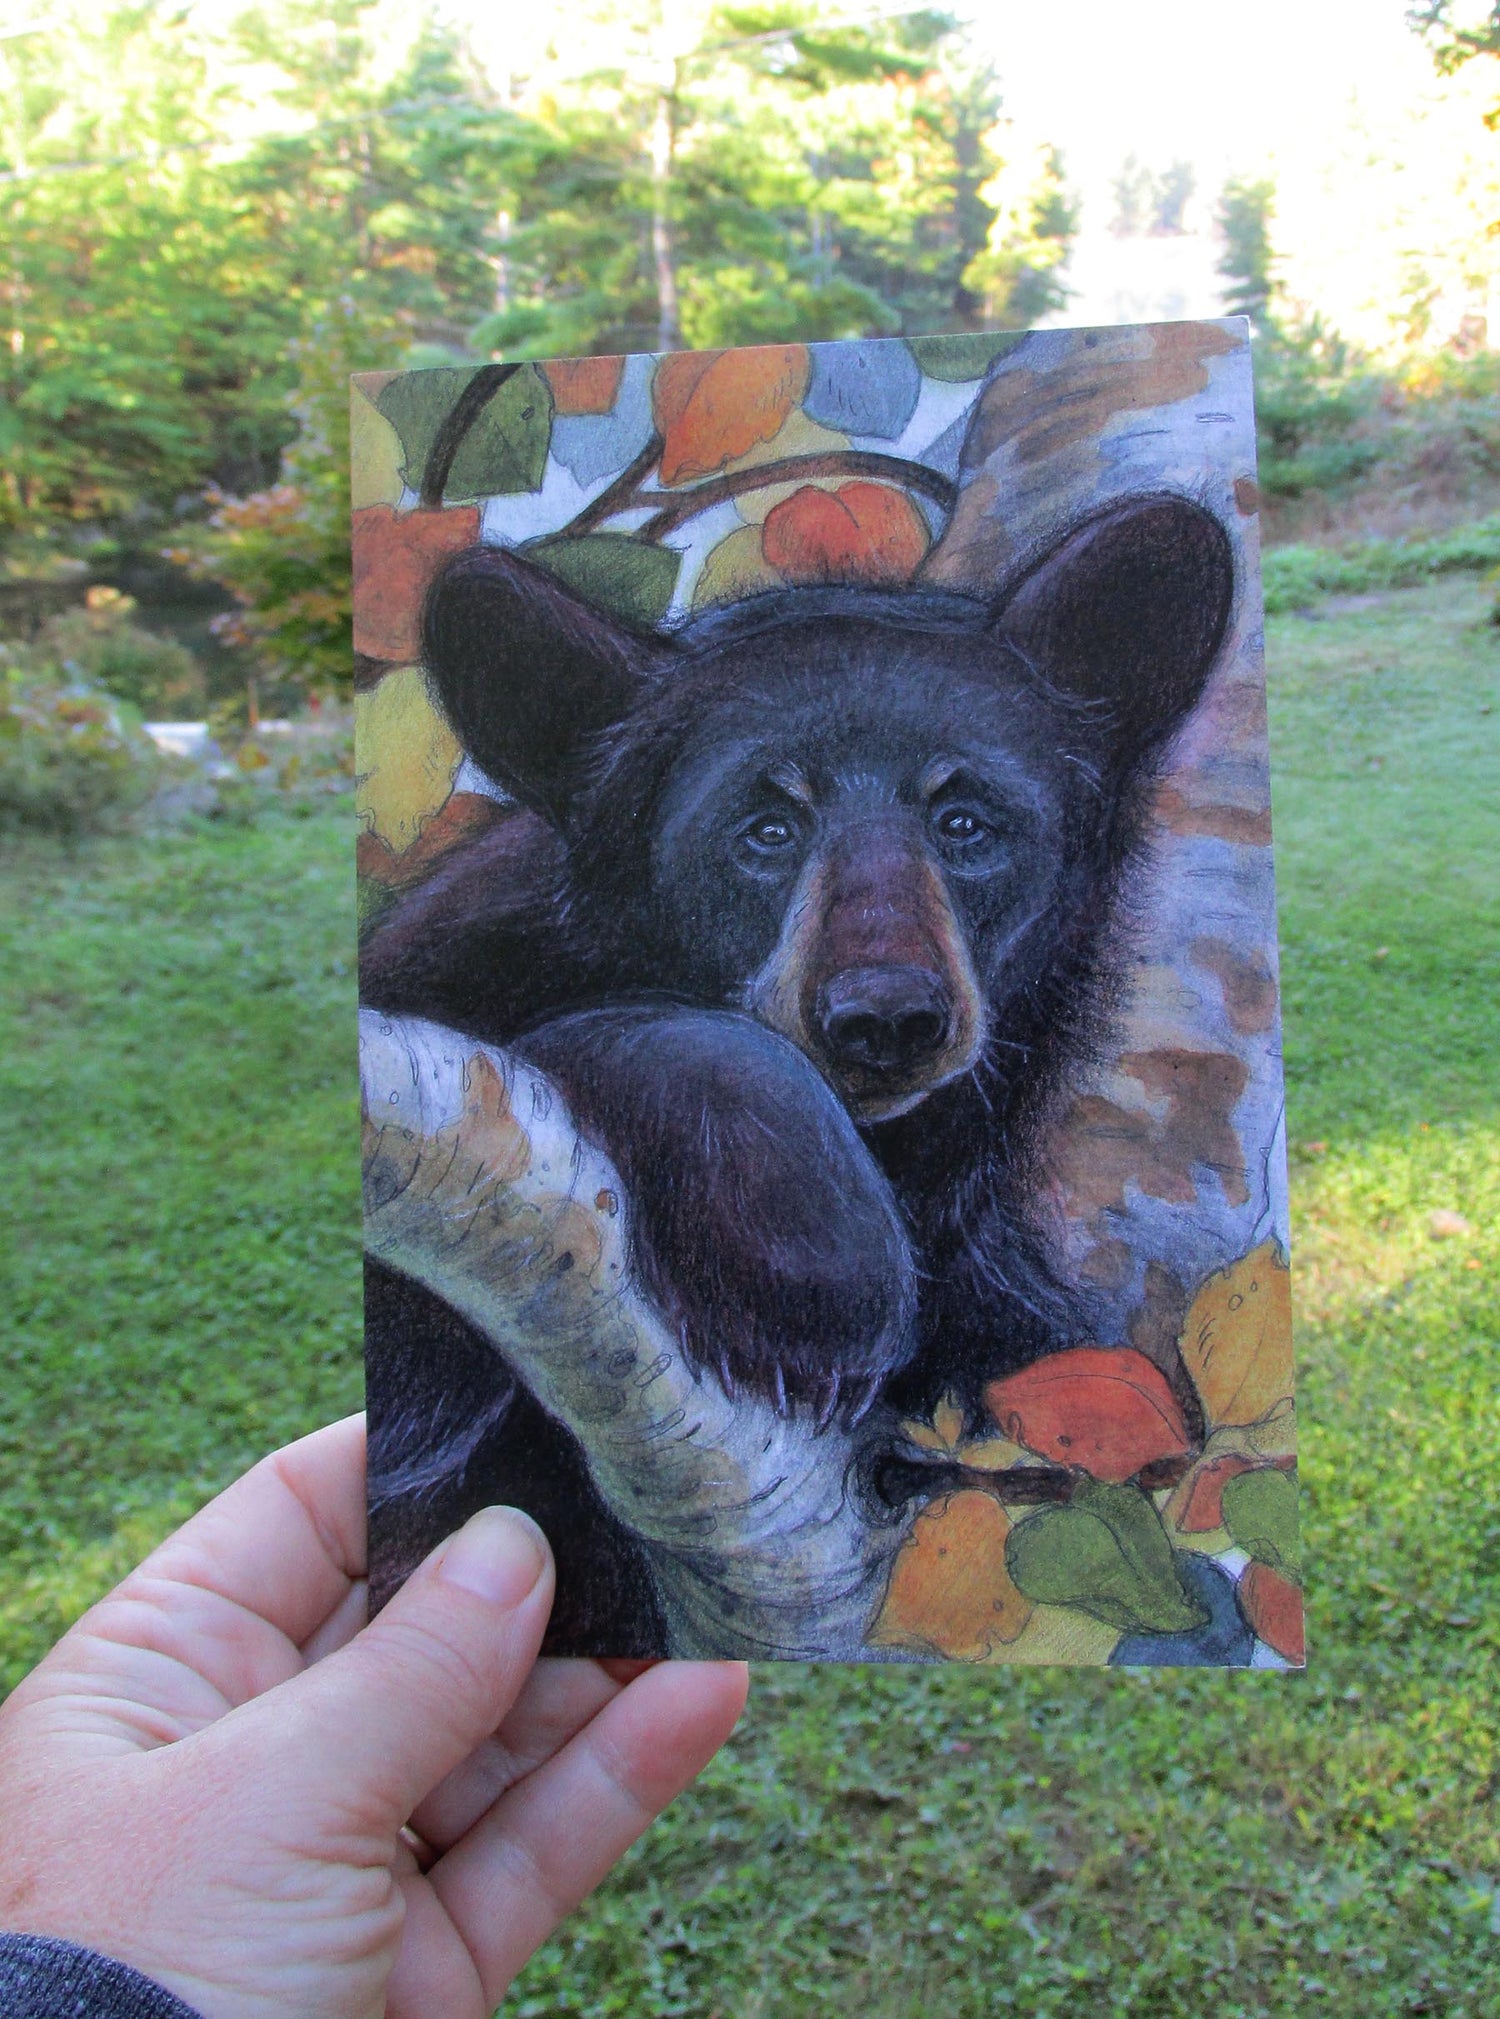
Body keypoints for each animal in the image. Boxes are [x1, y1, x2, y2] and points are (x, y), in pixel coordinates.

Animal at [359, 491, 1236, 1655]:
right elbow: (415, 1373)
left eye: (966, 820)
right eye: (765, 827)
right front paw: (814, 1275)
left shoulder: (993, 1281)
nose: (886, 1016)